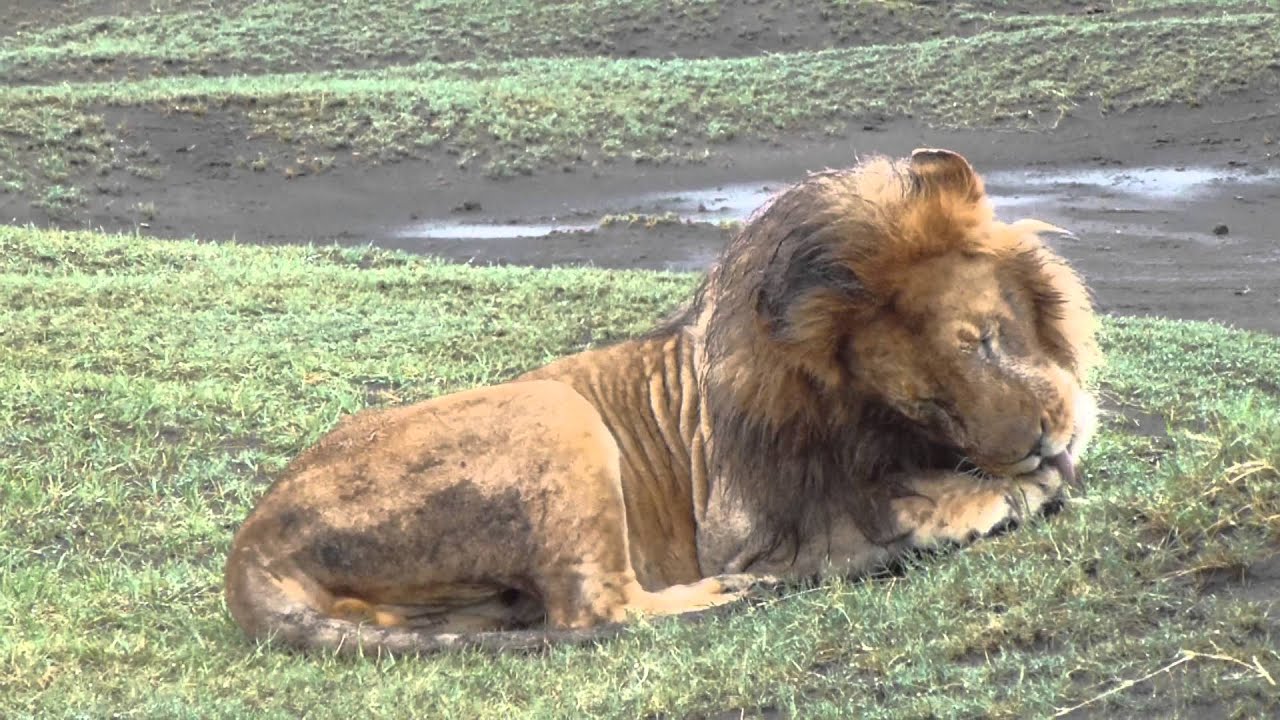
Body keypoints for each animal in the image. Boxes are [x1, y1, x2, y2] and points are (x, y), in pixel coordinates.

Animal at [224, 148, 1099, 655]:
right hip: (554, 413)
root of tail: (247, 551)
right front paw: (1006, 494)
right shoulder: (751, 532)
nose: (1042, 439)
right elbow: (914, 508)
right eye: (928, 400)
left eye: (988, 339)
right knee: (594, 612)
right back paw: (728, 598)